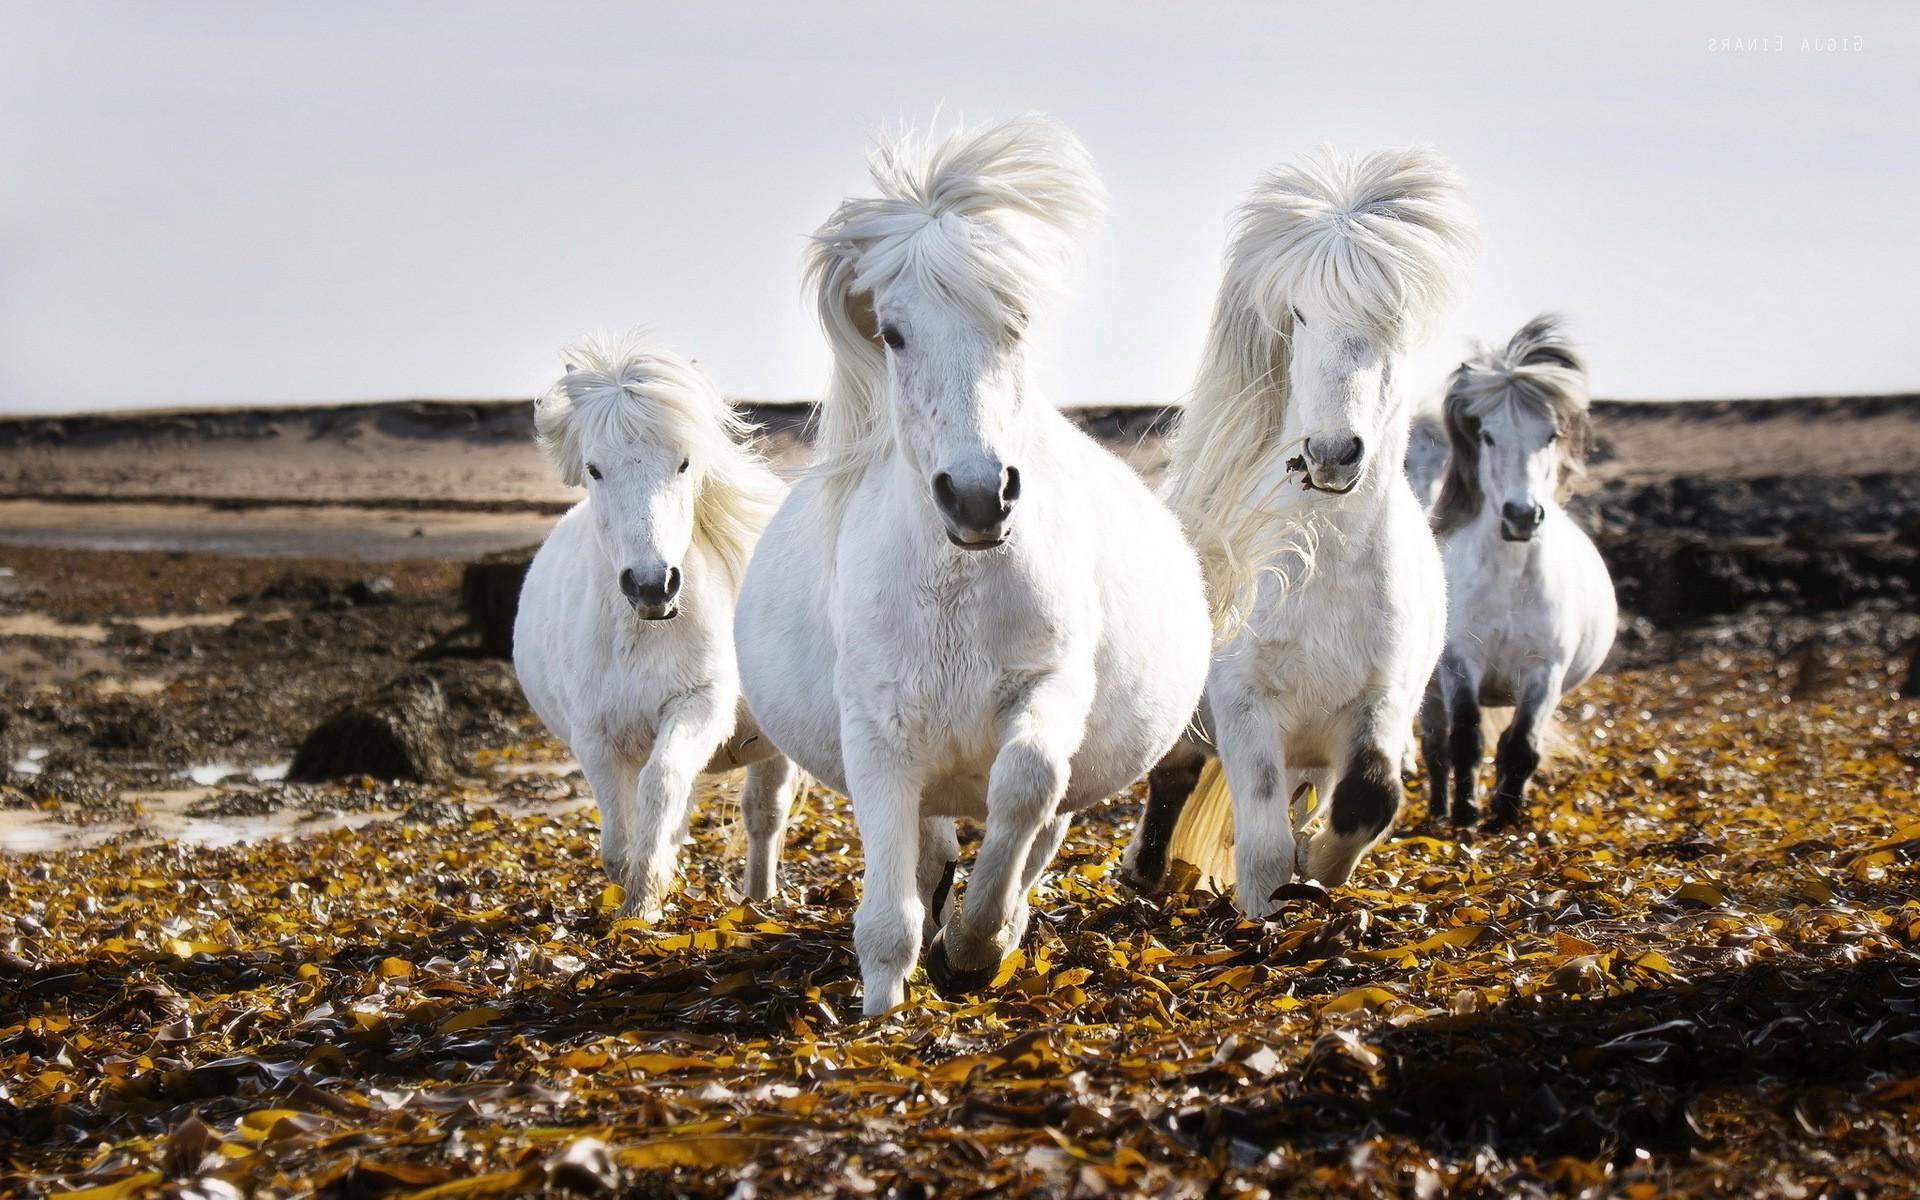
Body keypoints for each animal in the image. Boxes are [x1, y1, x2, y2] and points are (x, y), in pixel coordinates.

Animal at [513, 333, 797, 919]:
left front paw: (645, 900)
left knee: (763, 815)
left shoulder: (697, 706)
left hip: (772, 745)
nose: (651, 586)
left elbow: (661, 785)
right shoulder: (595, 735)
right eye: (595, 469)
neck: (640, 635)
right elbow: (618, 838)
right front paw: (634, 897)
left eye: (684, 463)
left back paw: (758, 903)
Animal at [734, 115, 1211, 1016]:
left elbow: (1025, 787)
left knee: (1038, 827)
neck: (953, 595)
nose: (978, 496)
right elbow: (888, 913)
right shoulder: (877, 732)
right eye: (892, 333)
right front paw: (884, 1010)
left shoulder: (1047, 691)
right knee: (930, 850)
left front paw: (976, 947)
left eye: (1016, 321)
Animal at [1120, 147, 1477, 917]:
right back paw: (1144, 872)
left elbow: (1369, 800)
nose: (1333, 453)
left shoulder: (1381, 703)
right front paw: (1265, 916)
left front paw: (1317, 873)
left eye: (1394, 319)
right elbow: (1260, 844)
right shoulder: (1244, 703)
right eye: (1302, 313)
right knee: (1173, 779)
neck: (1322, 570)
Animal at [1419, 315, 1616, 826]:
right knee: (1435, 747)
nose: (1522, 516)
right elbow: (1466, 741)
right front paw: (1466, 813)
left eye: (1550, 435)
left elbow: (1522, 745)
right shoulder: (1460, 664)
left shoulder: (1544, 672)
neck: (1509, 583)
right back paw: (1438, 810)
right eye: (1487, 436)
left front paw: (1506, 816)